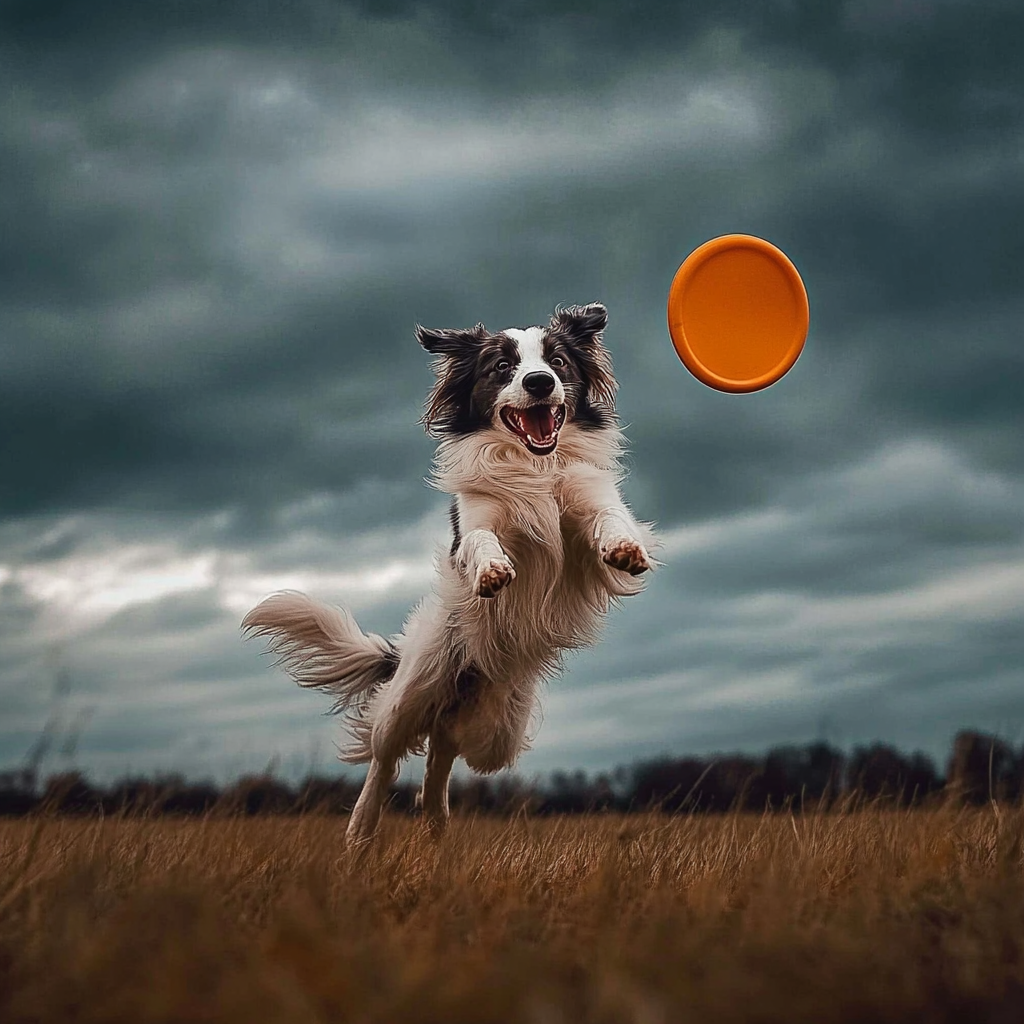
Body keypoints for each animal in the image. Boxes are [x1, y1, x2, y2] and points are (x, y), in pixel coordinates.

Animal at [239, 299, 655, 843]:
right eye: (502, 367)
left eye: (558, 361)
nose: (540, 382)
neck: (535, 467)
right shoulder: (477, 520)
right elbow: (480, 542)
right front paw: (492, 571)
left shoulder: (589, 501)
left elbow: (609, 520)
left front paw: (624, 548)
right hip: (414, 690)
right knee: (385, 757)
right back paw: (361, 831)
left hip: (495, 732)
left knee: (441, 751)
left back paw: (436, 824)